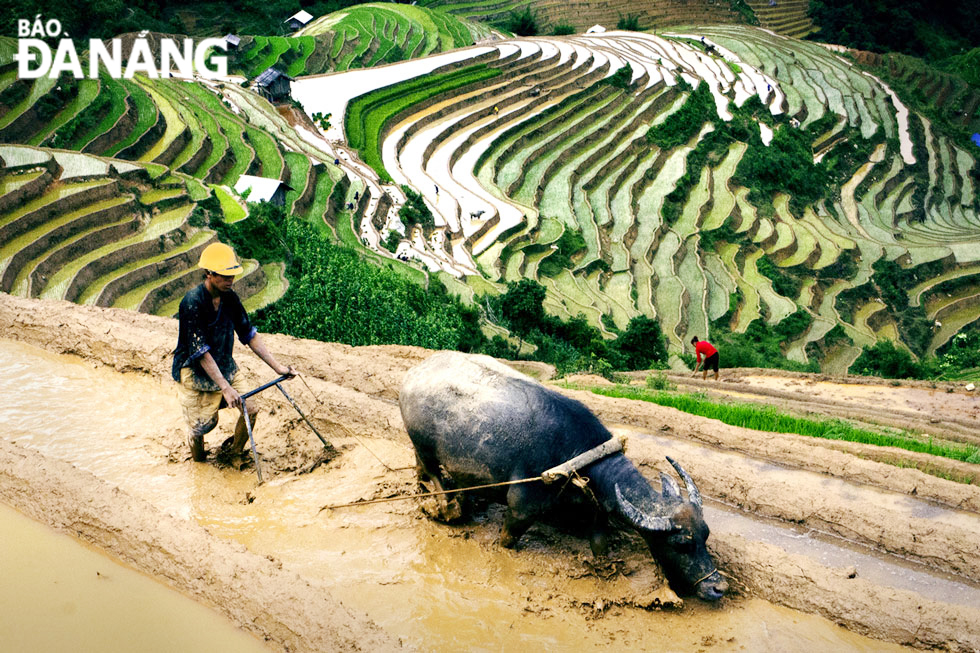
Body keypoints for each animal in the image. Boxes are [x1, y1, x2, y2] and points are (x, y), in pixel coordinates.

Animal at [398, 352, 728, 600]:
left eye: (706, 534)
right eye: (681, 544)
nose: (718, 587)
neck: (576, 457)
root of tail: (412, 374)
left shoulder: (597, 512)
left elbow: (600, 546)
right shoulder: (520, 511)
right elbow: (507, 540)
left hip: (419, 449)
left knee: (420, 468)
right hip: (424, 446)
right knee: (436, 476)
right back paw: (448, 506)